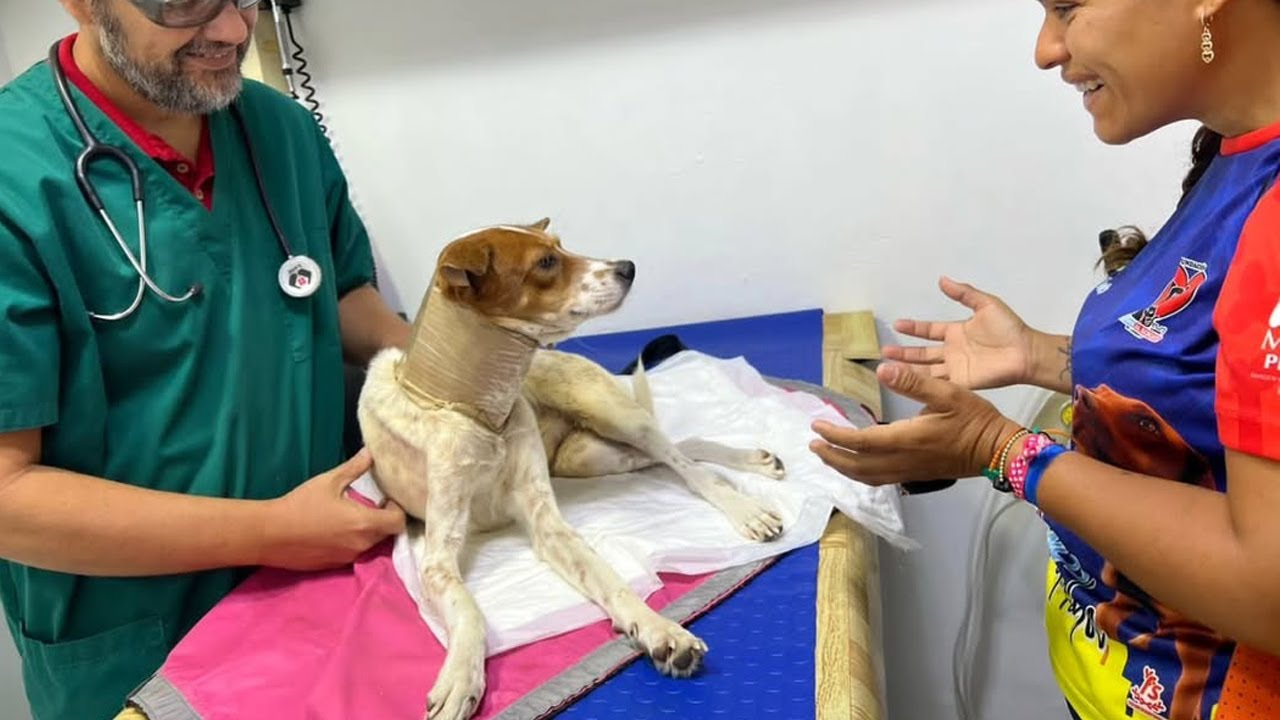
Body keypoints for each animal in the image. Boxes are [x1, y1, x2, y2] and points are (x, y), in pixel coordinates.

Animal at [357, 219, 788, 720]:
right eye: (545, 263)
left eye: (559, 246)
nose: (628, 267)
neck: (480, 416)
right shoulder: (439, 559)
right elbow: (468, 609)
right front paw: (461, 675)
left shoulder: (549, 525)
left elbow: (612, 582)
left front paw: (660, 629)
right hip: (589, 456)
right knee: (684, 448)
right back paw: (752, 462)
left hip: (613, 415)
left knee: (685, 463)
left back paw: (746, 507)